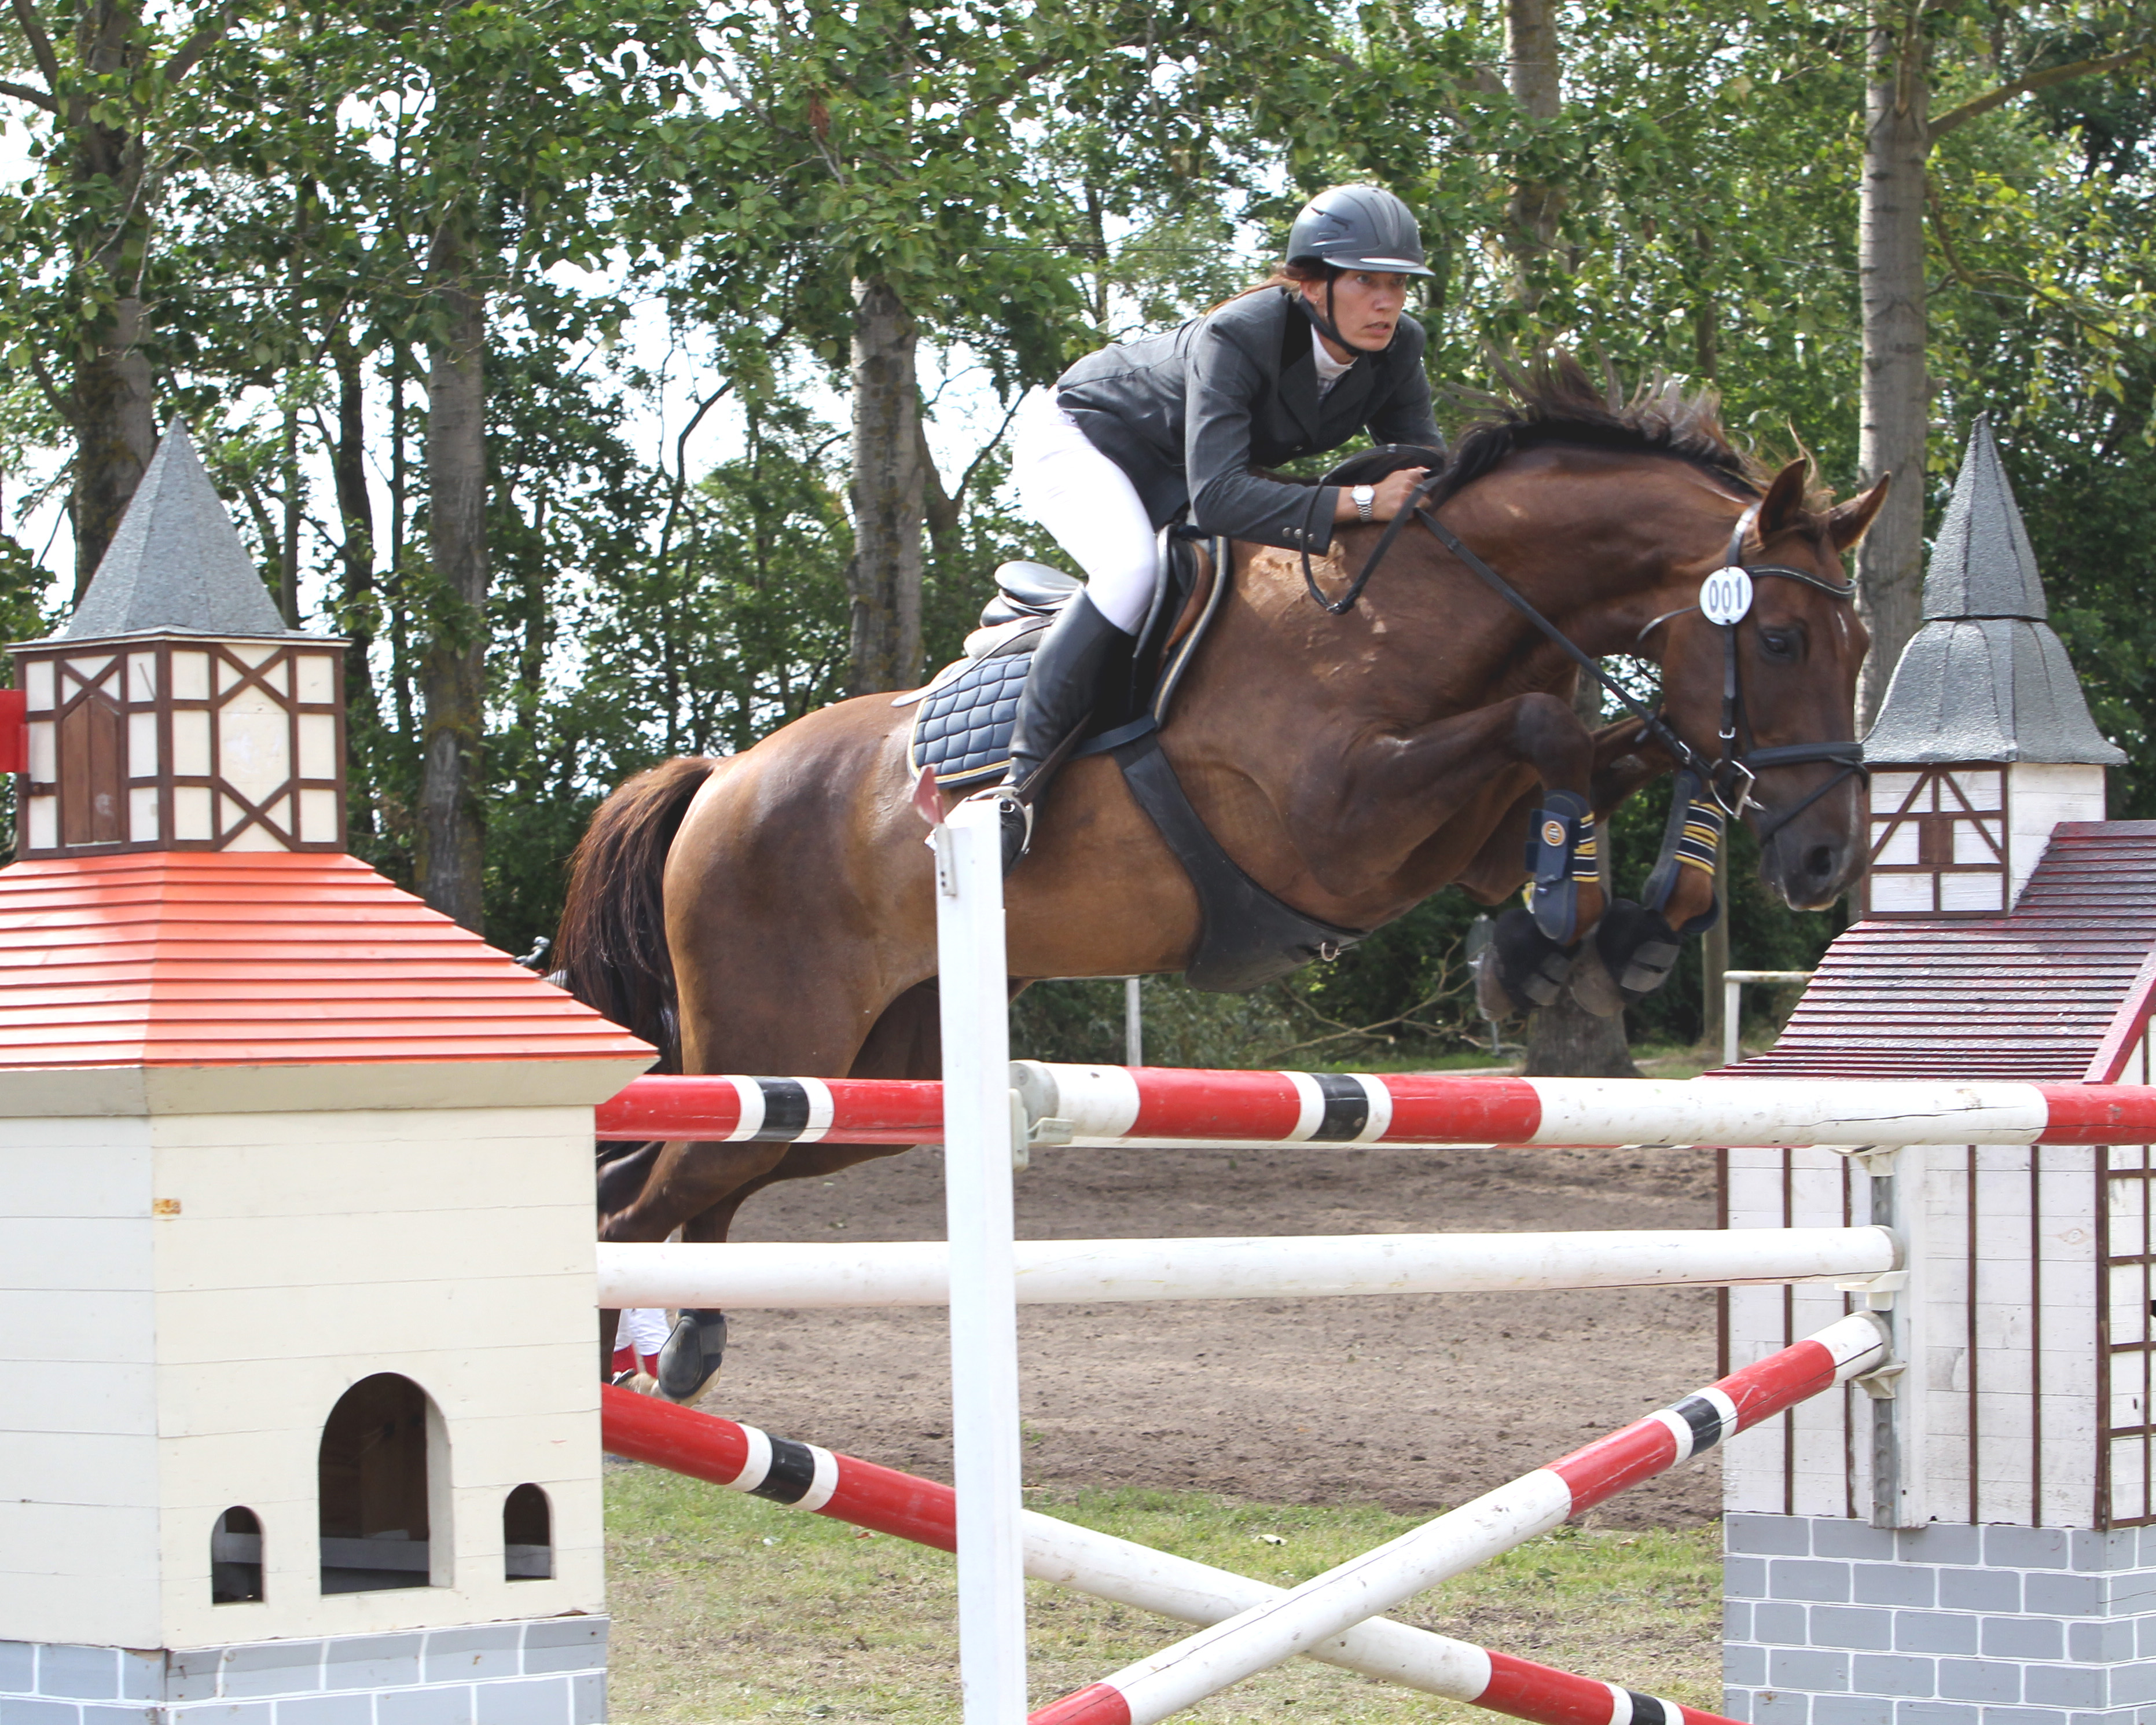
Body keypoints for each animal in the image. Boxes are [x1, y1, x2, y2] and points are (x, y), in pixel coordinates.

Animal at [560, 358, 1889, 1397]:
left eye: (1861, 644)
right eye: (1778, 639)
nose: (1826, 857)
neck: (1423, 610)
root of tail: (722, 776)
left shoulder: (1452, 839)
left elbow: (1610, 763)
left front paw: (1596, 936)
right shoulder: (1335, 829)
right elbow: (1546, 730)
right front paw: (1560, 926)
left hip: (869, 1081)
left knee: (687, 1183)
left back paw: (688, 1345)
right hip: (773, 1036)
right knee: (640, 1201)